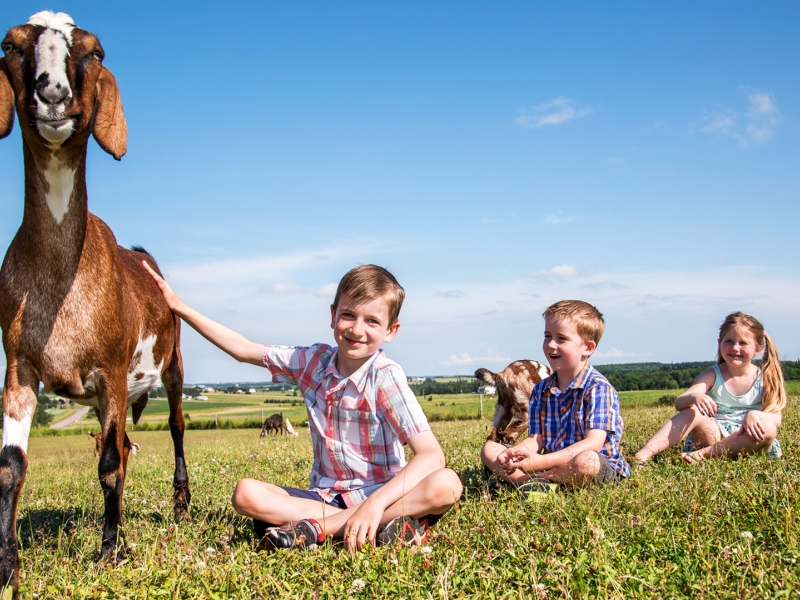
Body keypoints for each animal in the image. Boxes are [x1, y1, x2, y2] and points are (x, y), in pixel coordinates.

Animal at [0, 12, 190, 592]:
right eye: (10, 44)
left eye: (95, 51)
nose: (53, 94)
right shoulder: (18, 366)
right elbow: (10, 466)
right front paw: (7, 568)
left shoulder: (110, 370)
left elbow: (107, 463)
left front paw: (108, 553)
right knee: (126, 448)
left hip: (171, 364)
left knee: (175, 426)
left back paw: (179, 504)